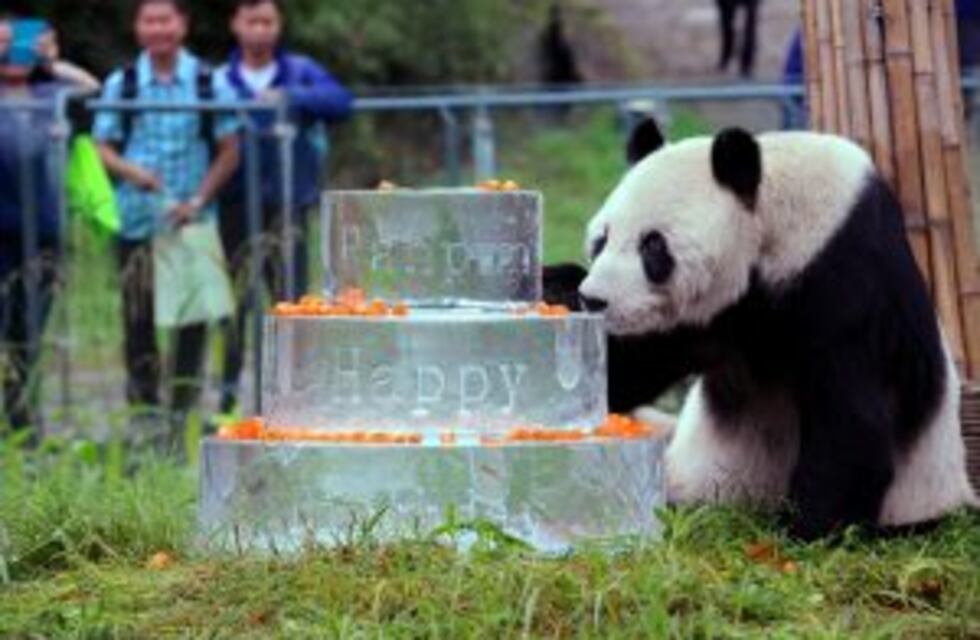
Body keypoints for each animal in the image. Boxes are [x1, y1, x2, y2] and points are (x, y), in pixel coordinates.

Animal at [545, 118, 978, 540]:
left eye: (653, 246)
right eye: (601, 239)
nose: (594, 300)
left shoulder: (845, 280)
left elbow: (853, 421)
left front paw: (801, 533)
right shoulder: (707, 318)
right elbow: (626, 372)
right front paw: (557, 289)